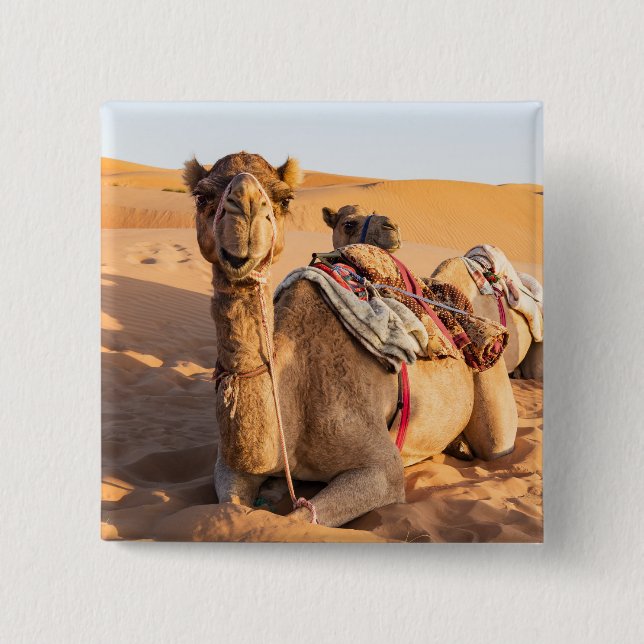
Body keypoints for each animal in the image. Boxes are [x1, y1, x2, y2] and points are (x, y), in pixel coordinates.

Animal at [184, 152, 518, 528]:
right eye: (201, 197)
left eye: (285, 199)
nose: (245, 209)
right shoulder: (229, 465)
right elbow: (232, 507)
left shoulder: (382, 468)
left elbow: (296, 519)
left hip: (492, 393)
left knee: (496, 442)